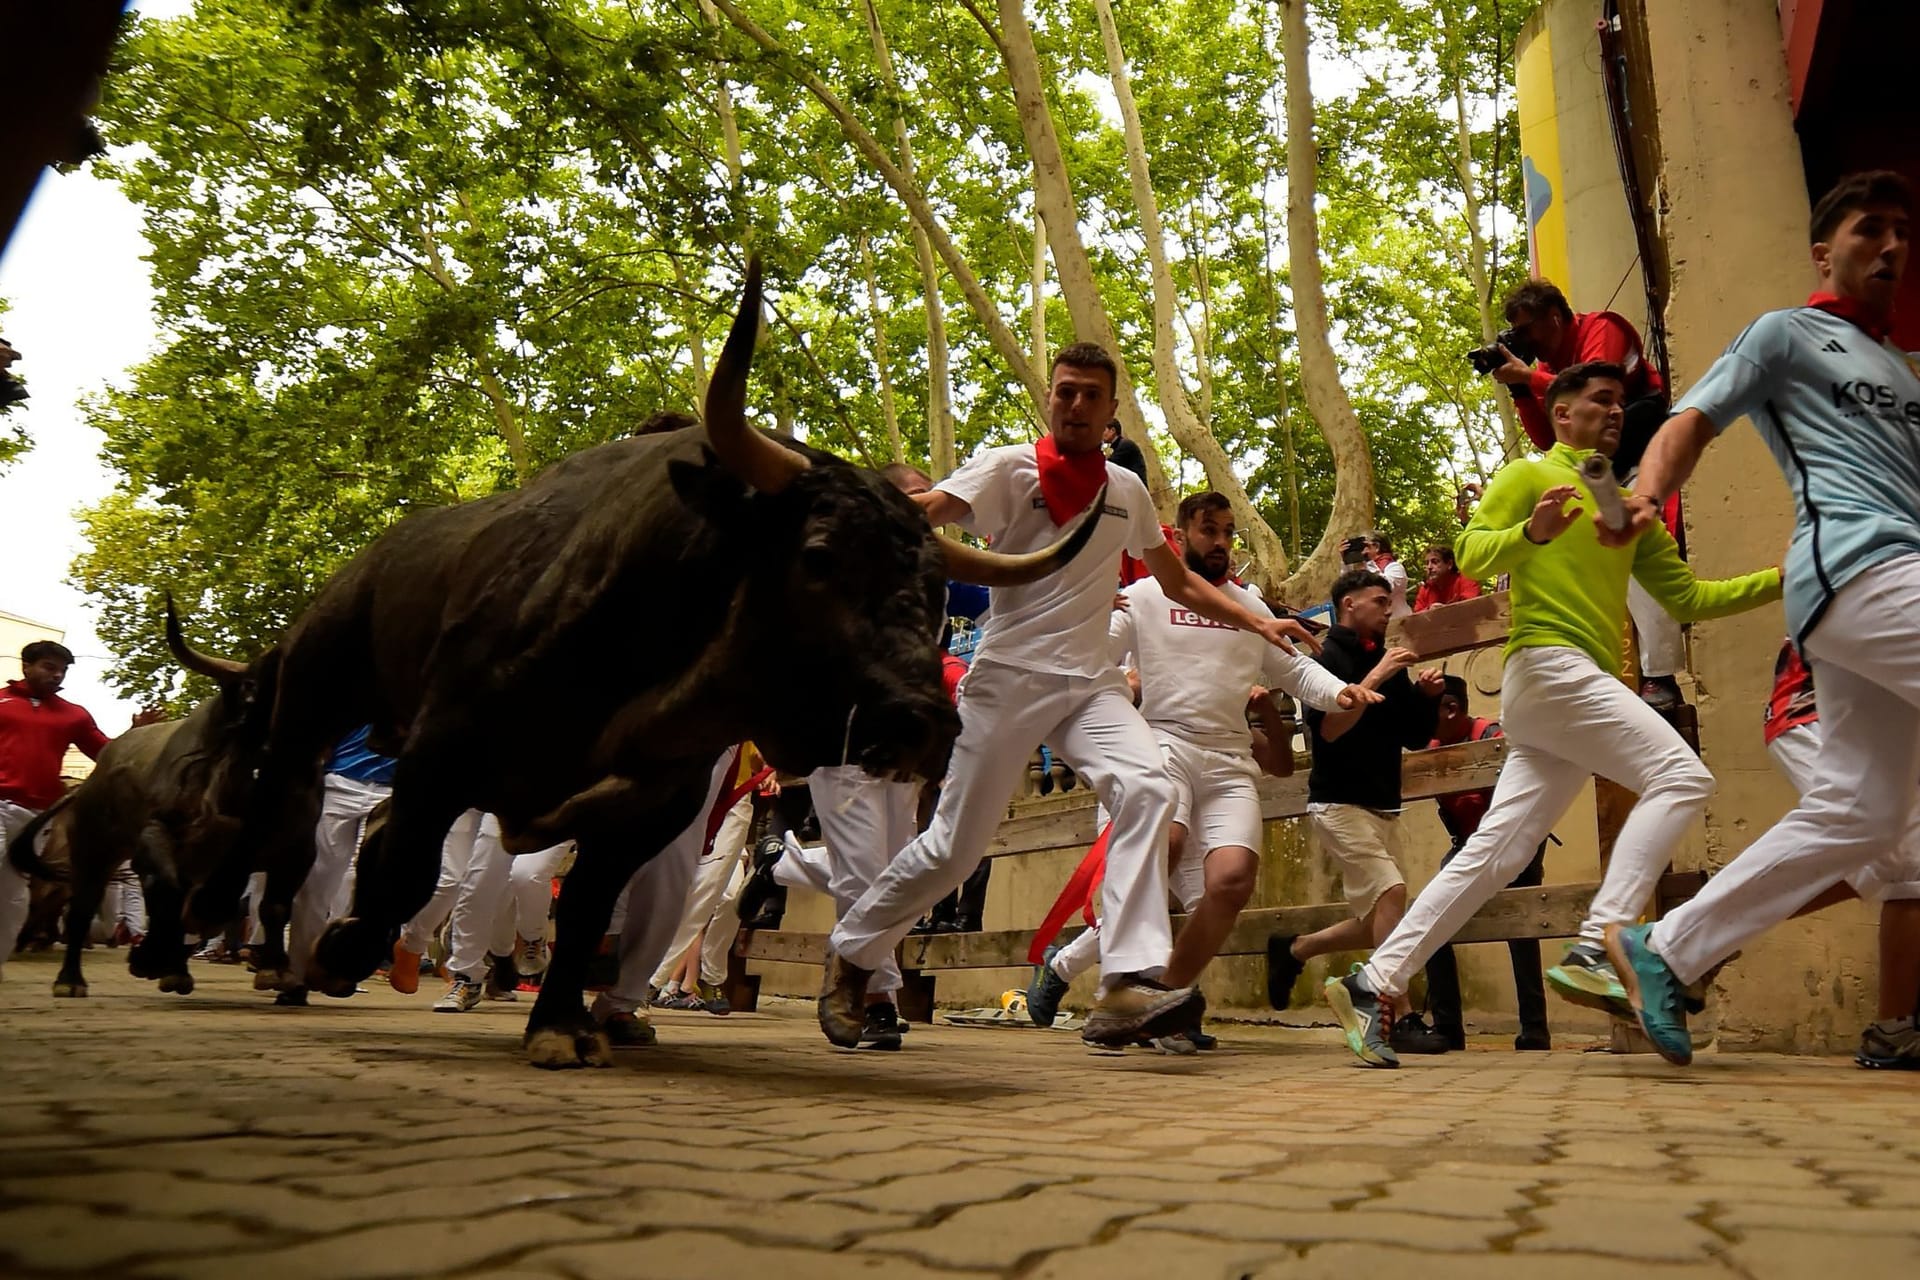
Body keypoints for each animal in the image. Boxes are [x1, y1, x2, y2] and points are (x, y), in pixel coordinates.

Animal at [208, 255, 1098, 1066]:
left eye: (937, 591)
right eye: (818, 555)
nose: (921, 723)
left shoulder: (651, 803)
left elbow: (586, 907)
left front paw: (561, 1024)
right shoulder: (442, 747)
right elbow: (411, 867)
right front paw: (346, 952)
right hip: (311, 700)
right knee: (294, 831)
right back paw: (282, 957)